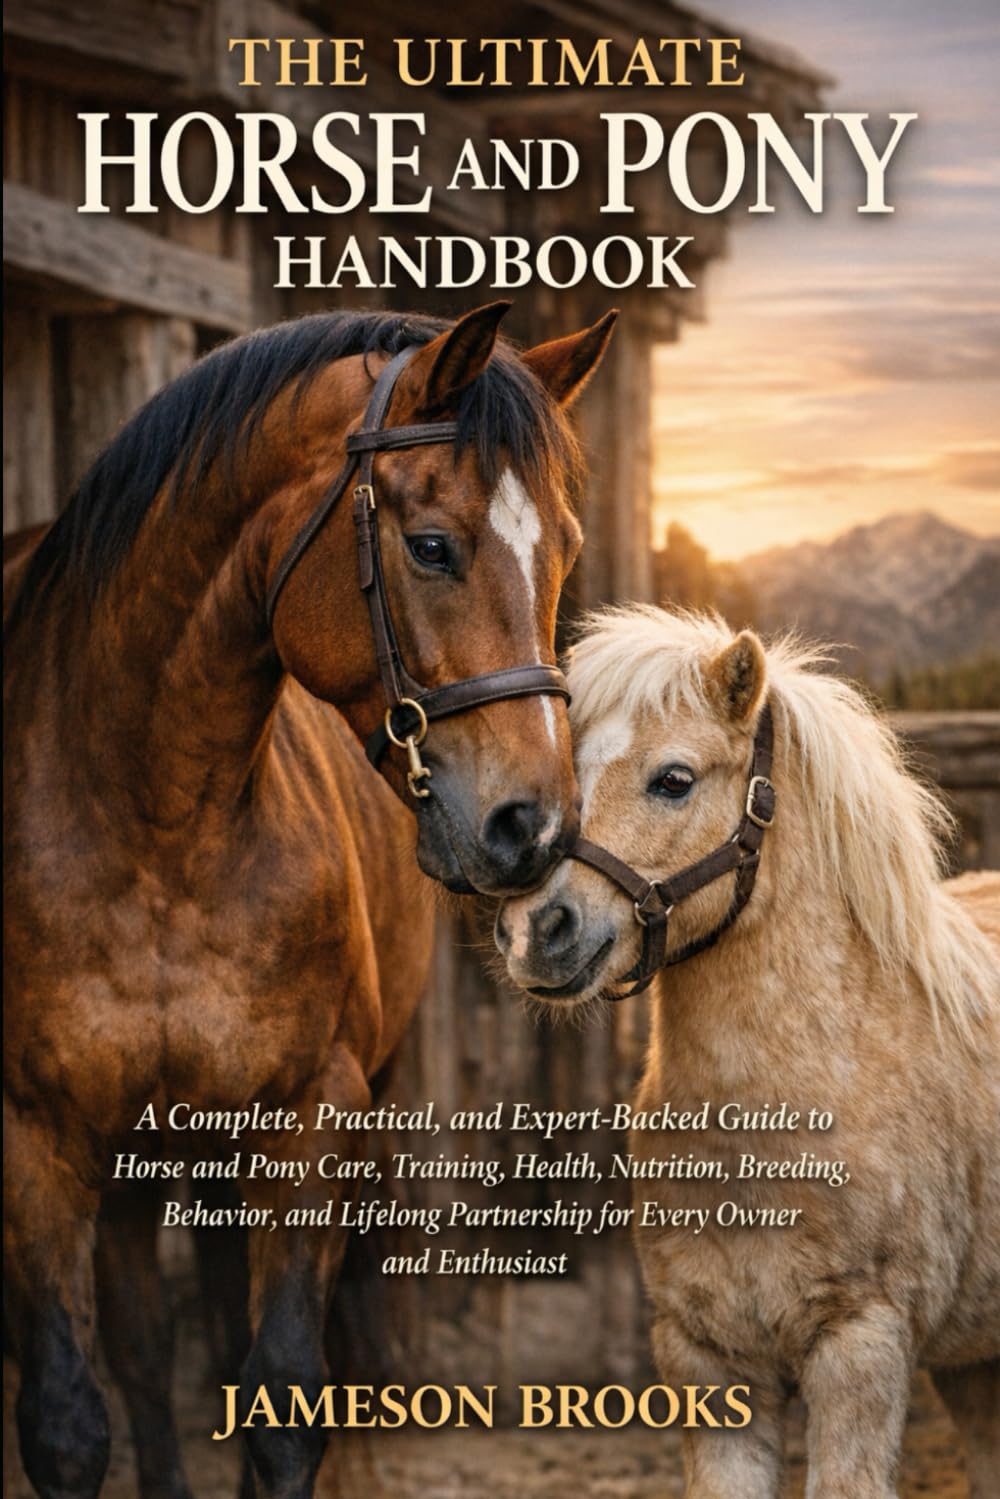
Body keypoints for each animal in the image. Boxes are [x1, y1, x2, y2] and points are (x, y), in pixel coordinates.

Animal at [3, 302, 617, 1499]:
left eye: (565, 551)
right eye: (431, 546)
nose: (533, 828)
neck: (152, 823)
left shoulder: (310, 1114)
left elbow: (285, 1398)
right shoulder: (34, 1135)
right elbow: (69, 1419)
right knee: (146, 1347)